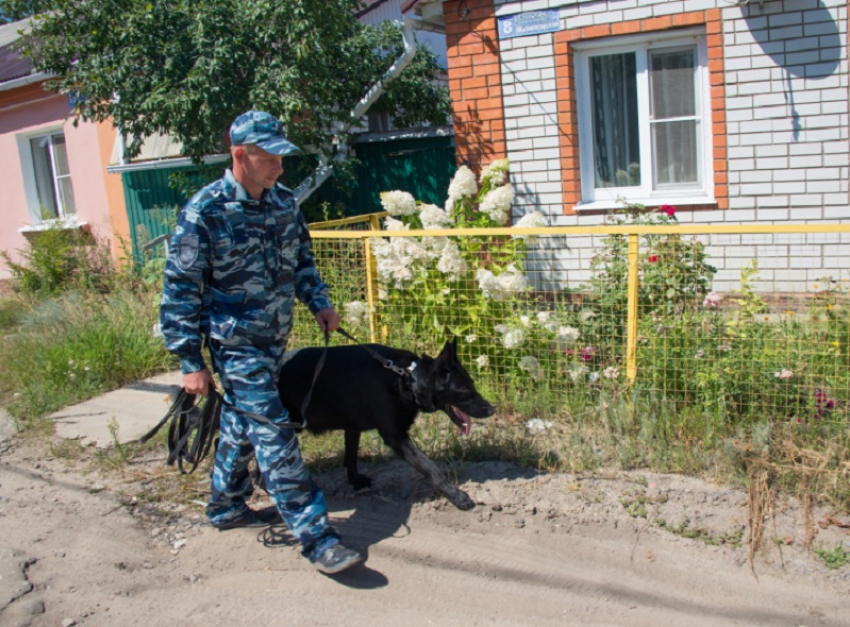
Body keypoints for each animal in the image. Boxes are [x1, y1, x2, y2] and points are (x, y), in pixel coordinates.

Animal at [278, 338, 494, 510]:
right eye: (464, 389)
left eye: (472, 383)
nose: (492, 409)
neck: (406, 379)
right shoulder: (395, 437)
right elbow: (430, 467)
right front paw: (456, 496)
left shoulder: (353, 428)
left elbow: (351, 456)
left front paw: (355, 481)